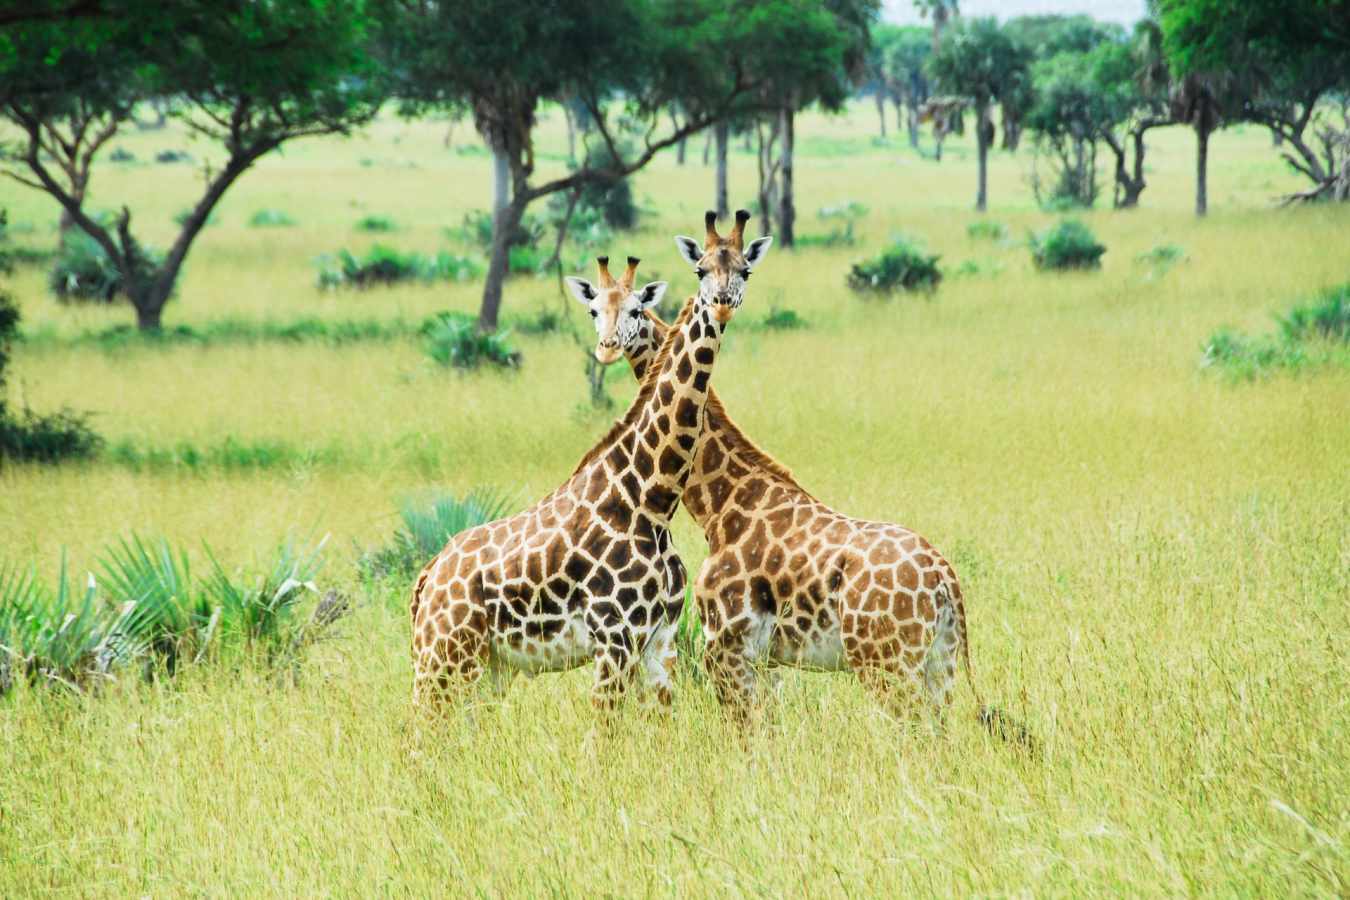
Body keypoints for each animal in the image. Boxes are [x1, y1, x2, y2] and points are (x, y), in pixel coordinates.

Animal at [410, 222, 754, 713]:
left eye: (745, 268)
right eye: (700, 269)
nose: (722, 302)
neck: (653, 497)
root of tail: (427, 577)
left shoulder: (659, 639)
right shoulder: (615, 637)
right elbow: (603, 728)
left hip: (487, 665)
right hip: (442, 653)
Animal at [590, 221, 1015, 737]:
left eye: (635, 310)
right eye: (595, 308)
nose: (607, 348)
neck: (720, 508)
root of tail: (944, 580)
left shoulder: (723, 648)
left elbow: (743, 736)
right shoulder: (768, 661)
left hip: (886, 663)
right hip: (940, 663)